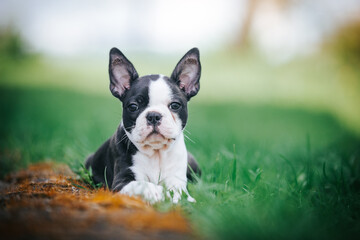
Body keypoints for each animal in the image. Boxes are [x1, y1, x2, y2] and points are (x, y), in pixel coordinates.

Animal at [85, 47, 201, 203]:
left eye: (175, 105)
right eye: (133, 106)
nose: (153, 116)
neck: (156, 153)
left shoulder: (176, 177)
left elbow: (178, 190)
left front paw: (182, 198)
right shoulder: (121, 181)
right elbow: (140, 184)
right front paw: (155, 191)